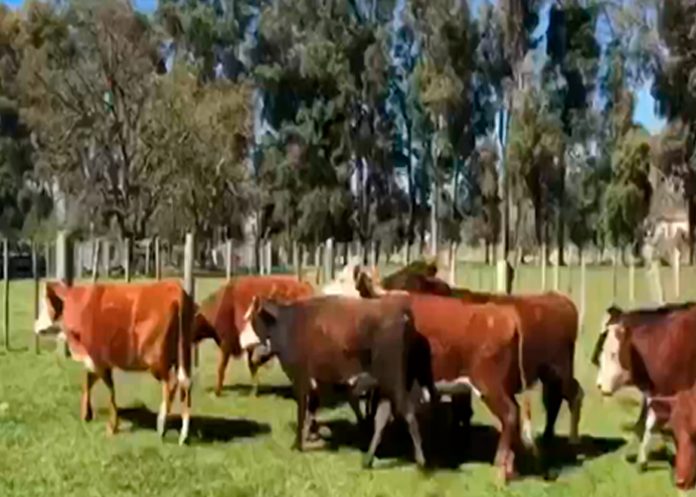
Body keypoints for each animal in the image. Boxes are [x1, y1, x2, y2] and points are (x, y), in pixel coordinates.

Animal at [33, 280, 194, 445]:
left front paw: (111, 426)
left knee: (171, 383)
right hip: (183, 355)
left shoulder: (98, 360)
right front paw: (87, 414)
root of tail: (174, 287)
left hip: (157, 360)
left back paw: (162, 426)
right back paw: (183, 435)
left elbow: (110, 389)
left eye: (44, 304)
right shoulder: (97, 361)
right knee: (185, 384)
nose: (35, 325)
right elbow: (88, 382)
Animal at [242, 294, 438, 469]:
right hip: (387, 385)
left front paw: (297, 444)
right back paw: (368, 459)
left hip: (395, 382)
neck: (288, 323)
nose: (243, 342)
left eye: (251, 318)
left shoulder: (301, 379)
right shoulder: (317, 384)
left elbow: (301, 413)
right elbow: (310, 413)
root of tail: (402, 312)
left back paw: (421, 462)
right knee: (383, 418)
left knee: (408, 413)